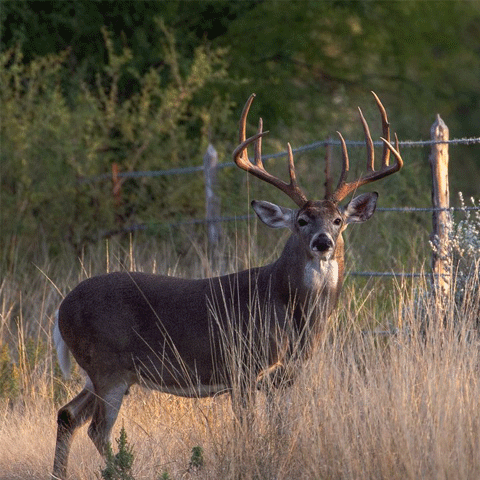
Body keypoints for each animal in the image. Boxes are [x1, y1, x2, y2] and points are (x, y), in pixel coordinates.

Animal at [51, 92, 402, 478]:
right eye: (301, 220)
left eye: (338, 220)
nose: (323, 242)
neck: (289, 310)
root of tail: (61, 309)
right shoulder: (243, 367)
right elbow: (247, 428)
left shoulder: (286, 378)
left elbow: (281, 430)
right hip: (107, 366)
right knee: (97, 429)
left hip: (100, 372)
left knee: (67, 415)